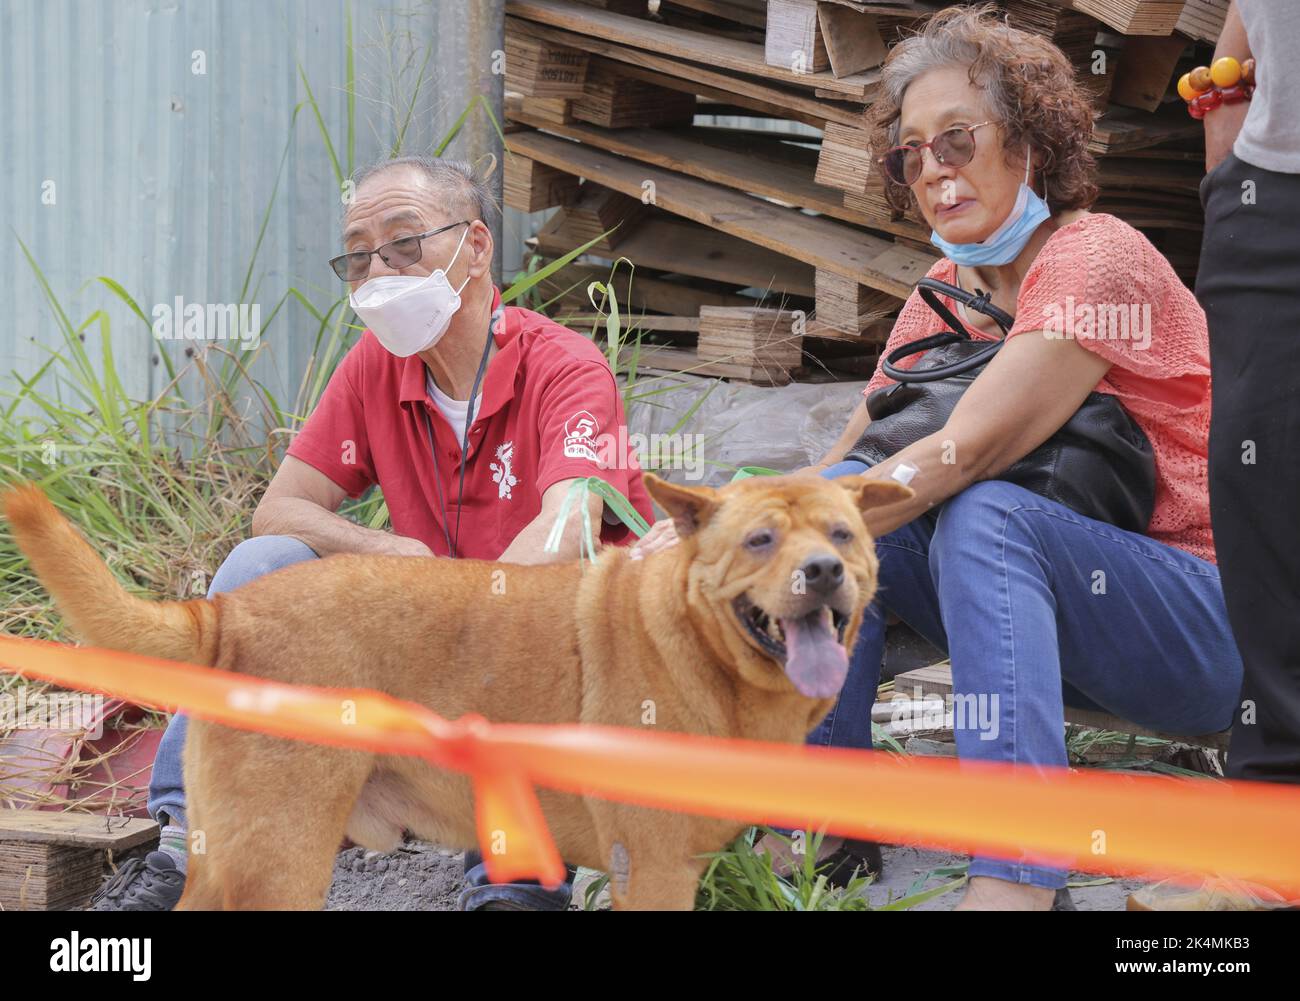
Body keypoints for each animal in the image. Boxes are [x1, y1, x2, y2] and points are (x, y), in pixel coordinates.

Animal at [2, 473, 915, 909]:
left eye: (842, 534)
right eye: (760, 538)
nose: (823, 570)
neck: (695, 642)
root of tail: (226, 610)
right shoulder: (653, 874)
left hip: (234, 863)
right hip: (281, 864)